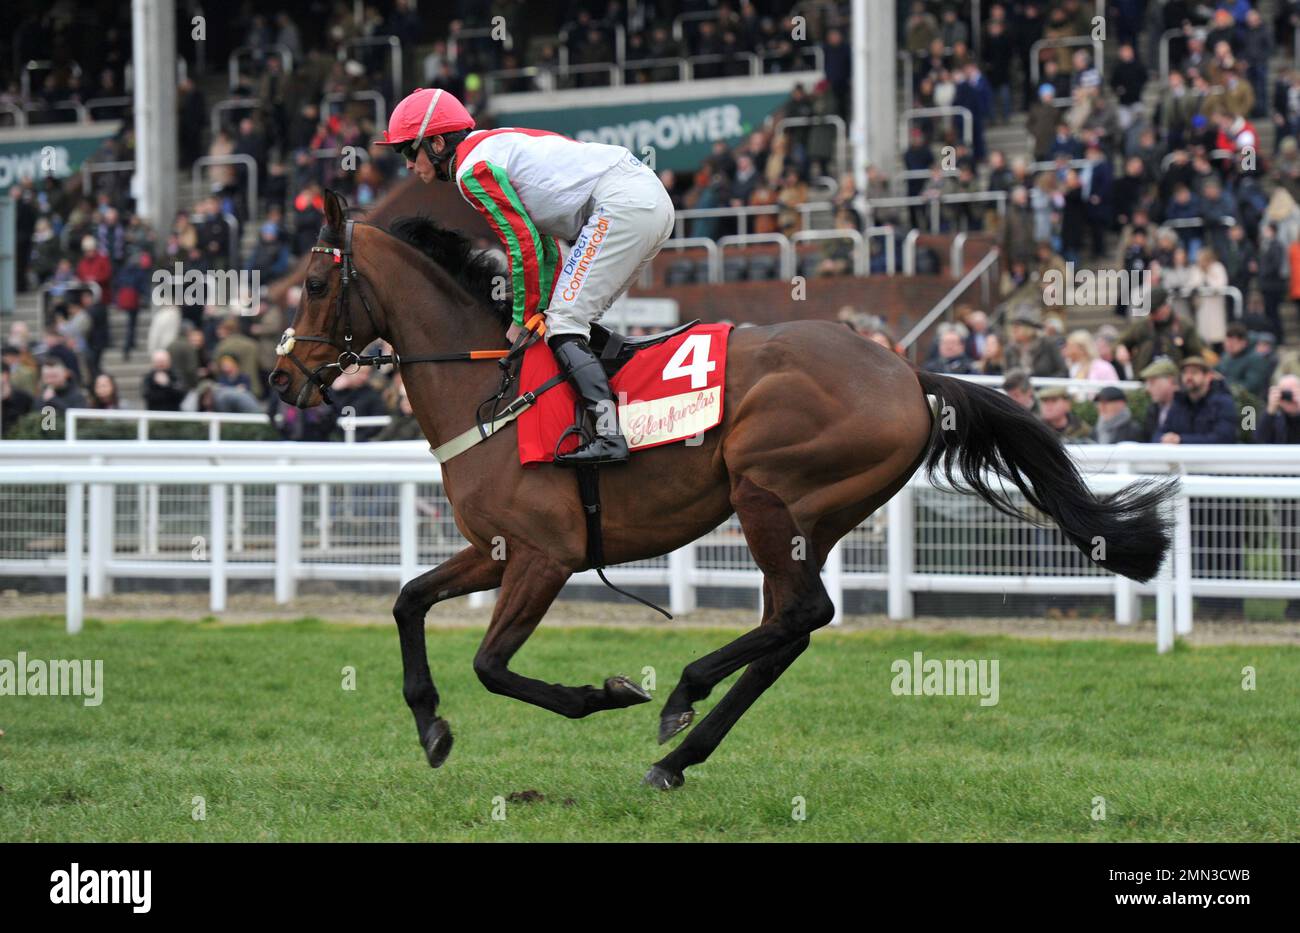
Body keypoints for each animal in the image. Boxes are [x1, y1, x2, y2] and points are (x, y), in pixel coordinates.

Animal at [266, 193, 1180, 795]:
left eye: (313, 283)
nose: (281, 375)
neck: (490, 390)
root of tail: (909, 372)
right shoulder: (495, 547)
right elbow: (408, 599)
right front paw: (430, 724)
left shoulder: (546, 554)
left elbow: (492, 664)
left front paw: (605, 693)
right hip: (812, 516)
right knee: (790, 629)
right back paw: (677, 757)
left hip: (768, 490)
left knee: (800, 614)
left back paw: (678, 698)